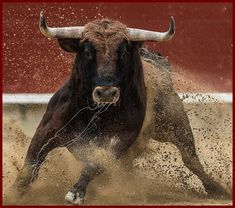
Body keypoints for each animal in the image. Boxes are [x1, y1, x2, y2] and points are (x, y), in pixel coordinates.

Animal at [11, 11, 230, 205]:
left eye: (123, 52)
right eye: (88, 52)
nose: (106, 93)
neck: (95, 112)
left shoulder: (119, 139)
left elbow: (96, 162)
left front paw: (76, 192)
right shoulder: (48, 129)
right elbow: (31, 161)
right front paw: (14, 191)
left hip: (174, 122)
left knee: (190, 157)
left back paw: (216, 189)